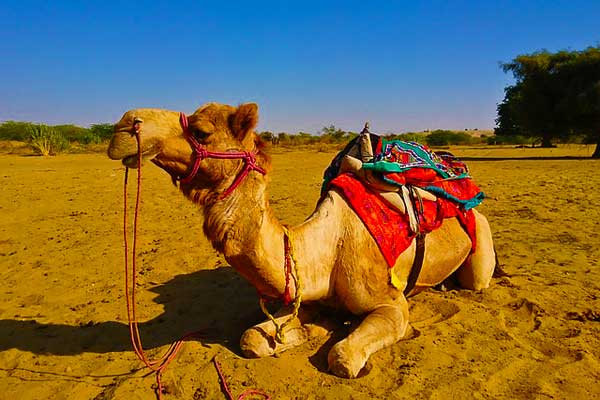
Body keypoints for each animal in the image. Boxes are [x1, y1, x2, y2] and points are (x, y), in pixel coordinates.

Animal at [108, 103, 496, 378]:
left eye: (201, 132)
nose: (126, 125)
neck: (326, 248)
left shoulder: (391, 304)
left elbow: (343, 357)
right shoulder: (303, 295)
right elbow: (251, 338)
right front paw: (310, 330)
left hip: (480, 238)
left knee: (476, 280)